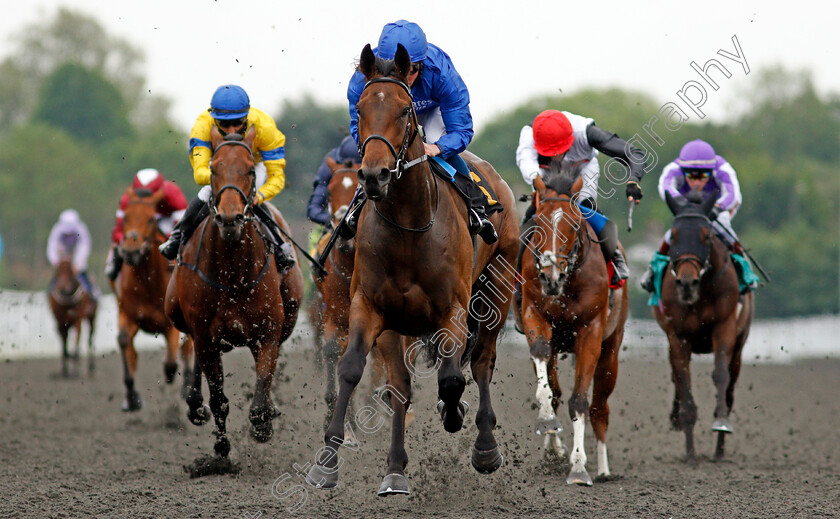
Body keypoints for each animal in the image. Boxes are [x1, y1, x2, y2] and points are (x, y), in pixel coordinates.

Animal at [113, 189, 194, 412]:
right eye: (125, 218)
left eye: (151, 219)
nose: (131, 251)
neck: (147, 282)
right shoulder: (127, 314)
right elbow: (124, 341)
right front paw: (132, 396)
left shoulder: (170, 325)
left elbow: (171, 362)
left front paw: (172, 377)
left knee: (187, 349)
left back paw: (187, 387)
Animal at [164, 127, 306, 464]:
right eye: (214, 169)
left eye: (251, 170)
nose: (230, 218)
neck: (233, 273)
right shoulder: (205, 336)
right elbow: (219, 400)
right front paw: (221, 449)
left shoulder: (266, 334)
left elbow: (260, 398)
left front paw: (263, 424)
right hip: (178, 313)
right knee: (193, 354)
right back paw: (195, 403)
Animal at [306, 44, 520, 496]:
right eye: (361, 108)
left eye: (406, 110)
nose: (375, 174)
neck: (409, 227)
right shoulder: (372, 308)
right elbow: (358, 370)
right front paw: (330, 461)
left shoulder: (453, 308)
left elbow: (453, 379)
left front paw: (455, 415)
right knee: (403, 385)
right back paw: (396, 467)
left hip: (498, 288)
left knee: (481, 362)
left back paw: (485, 446)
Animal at [520, 168, 632, 488]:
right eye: (539, 221)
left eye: (571, 224)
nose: (550, 276)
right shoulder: (534, 315)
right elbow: (547, 379)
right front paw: (548, 425)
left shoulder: (590, 332)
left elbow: (580, 401)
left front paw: (580, 466)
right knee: (556, 389)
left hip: (611, 351)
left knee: (599, 408)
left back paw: (604, 468)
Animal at [648, 191, 756, 464]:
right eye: (674, 235)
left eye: (706, 235)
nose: (687, 283)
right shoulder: (678, 337)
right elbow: (683, 380)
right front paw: (690, 452)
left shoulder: (724, 328)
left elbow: (720, 375)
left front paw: (721, 423)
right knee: (676, 376)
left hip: (739, 344)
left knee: (731, 386)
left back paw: (719, 450)